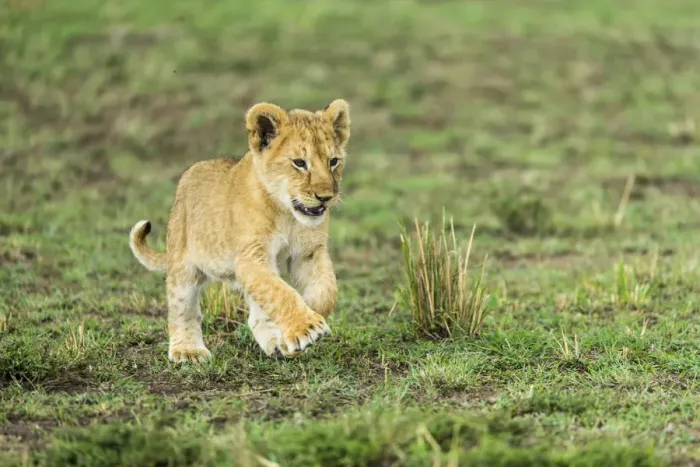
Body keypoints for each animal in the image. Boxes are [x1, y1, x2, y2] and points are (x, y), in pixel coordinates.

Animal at [128, 99, 350, 362]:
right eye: (299, 163)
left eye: (333, 161)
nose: (326, 197)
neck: (288, 215)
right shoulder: (251, 257)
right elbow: (280, 292)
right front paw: (305, 328)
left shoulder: (309, 252)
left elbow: (325, 292)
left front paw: (296, 330)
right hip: (182, 261)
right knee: (182, 307)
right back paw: (188, 350)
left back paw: (275, 343)